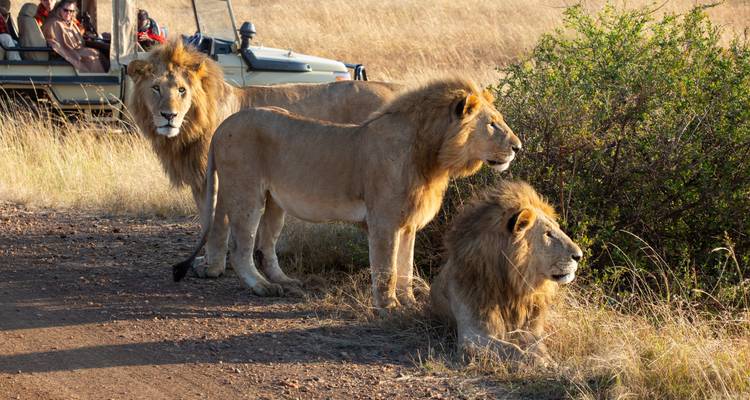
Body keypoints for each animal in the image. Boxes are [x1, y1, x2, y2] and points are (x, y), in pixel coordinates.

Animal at [126, 40, 402, 280]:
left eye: (182, 90)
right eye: (156, 88)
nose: (168, 116)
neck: (189, 127)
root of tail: (396, 88)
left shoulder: (218, 179)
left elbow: (217, 224)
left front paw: (213, 268)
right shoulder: (200, 181)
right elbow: (207, 220)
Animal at [172, 78, 522, 310]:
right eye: (492, 124)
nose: (518, 147)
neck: (432, 159)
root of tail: (222, 126)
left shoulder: (408, 223)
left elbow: (406, 267)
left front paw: (409, 302)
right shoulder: (383, 221)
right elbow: (387, 268)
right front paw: (389, 308)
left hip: (273, 201)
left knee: (265, 246)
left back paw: (285, 281)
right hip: (246, 193)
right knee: (241, 249)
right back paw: (263, 287)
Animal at [430, 180, 583, 365]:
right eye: (548, 234)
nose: (579, 256)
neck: (513, 287)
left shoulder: (531, 330)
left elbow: (538, 346)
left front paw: (548, 360)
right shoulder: (471, 337)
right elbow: (511, 349)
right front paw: (540, 362)